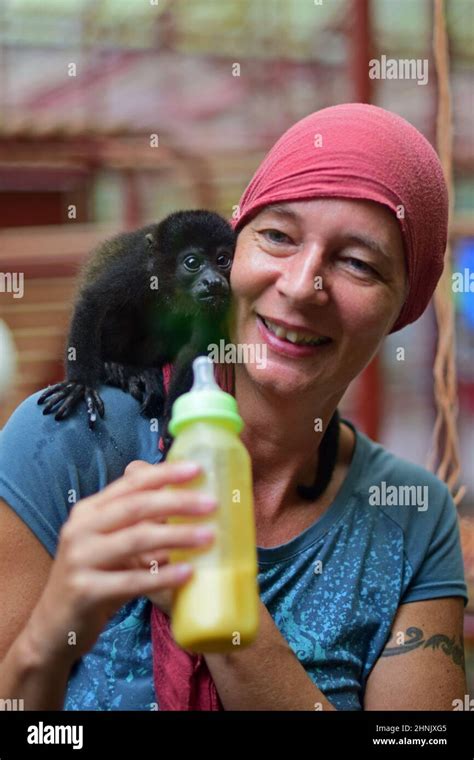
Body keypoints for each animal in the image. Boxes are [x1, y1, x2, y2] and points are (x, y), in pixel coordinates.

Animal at [37, 208, 235, 448]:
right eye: (192, 262)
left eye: (223, 260)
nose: (213, 281)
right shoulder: (136, 269)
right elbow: (93, 302)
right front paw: (79, 385)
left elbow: (194, 347)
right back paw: (117, 369)